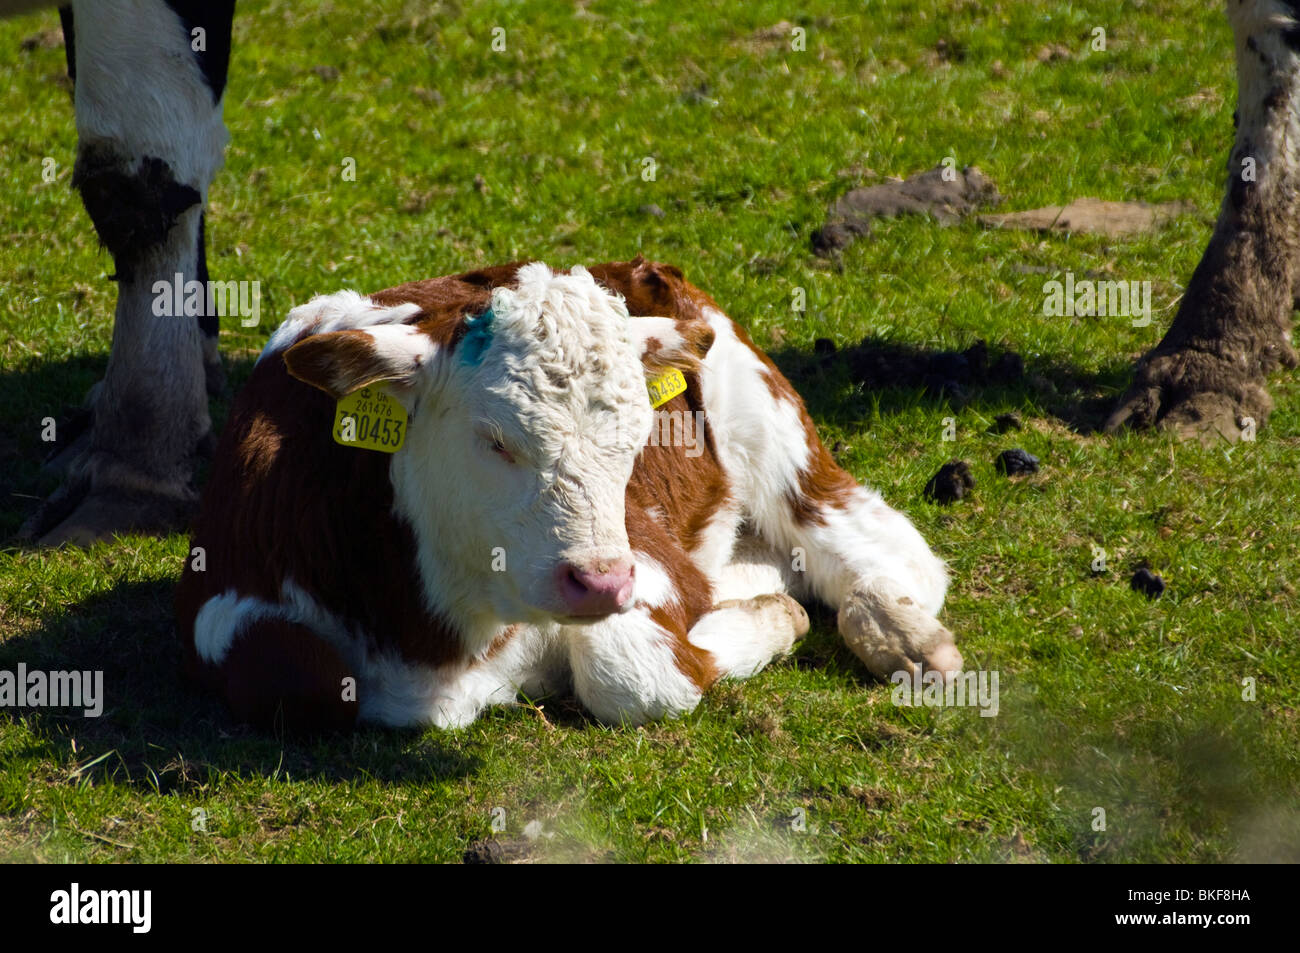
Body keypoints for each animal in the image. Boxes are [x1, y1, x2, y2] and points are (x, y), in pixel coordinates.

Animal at [174, 257, 962, 732]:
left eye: (638, 436)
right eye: (494, 439)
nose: (599, 580)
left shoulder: (646, 558)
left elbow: (634, 672)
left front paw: (768, 621)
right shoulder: (225, 585)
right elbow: (293, 673)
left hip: (771, 431)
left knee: (888, 548)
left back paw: (903, 635)